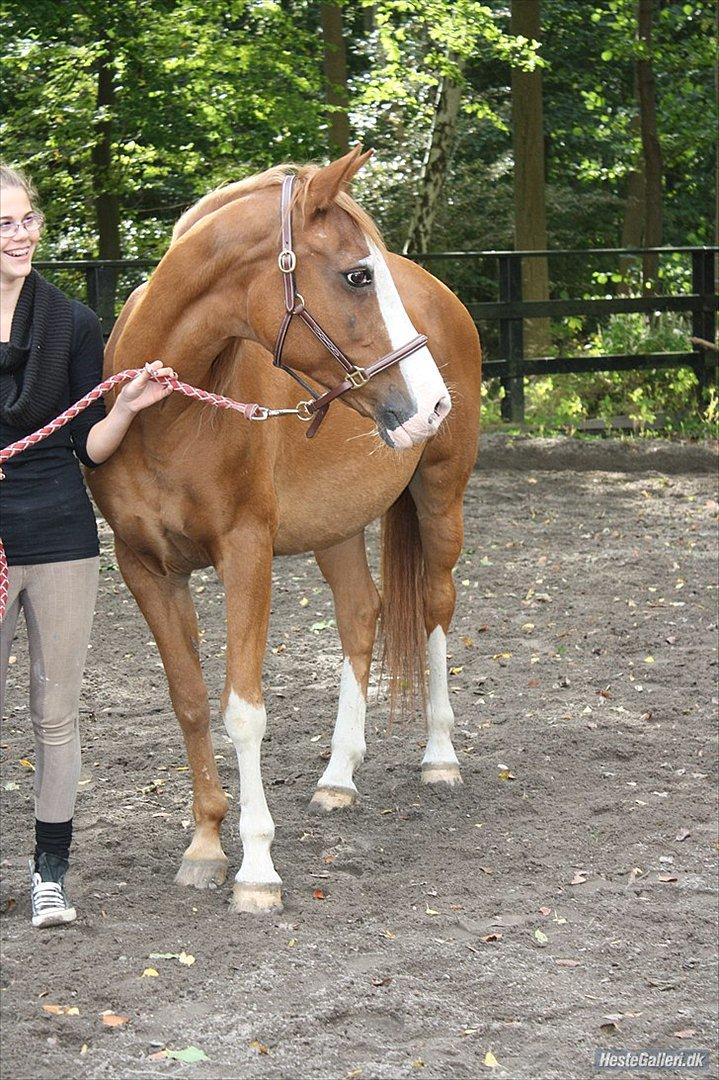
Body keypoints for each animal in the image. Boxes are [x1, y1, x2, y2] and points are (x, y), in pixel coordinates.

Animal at [89, 147, 481, 915]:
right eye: (357, 275)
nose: (432, 403)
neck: (167, 417)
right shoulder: (145, 567)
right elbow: (190, 702)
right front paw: (206, 845)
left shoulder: (247, 554)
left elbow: (243, 711)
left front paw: (257, 869)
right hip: (336, 527)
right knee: (361, 613)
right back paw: (338, 776)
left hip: (439, 499)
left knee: (434, 606)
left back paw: (440, 756)